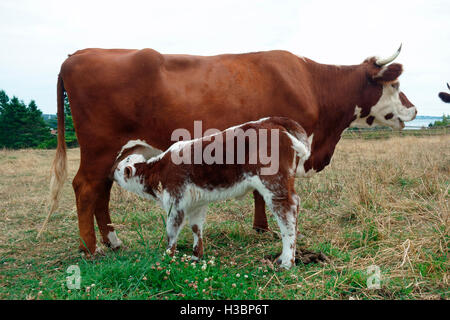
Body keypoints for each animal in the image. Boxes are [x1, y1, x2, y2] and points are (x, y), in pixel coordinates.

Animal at [112, 116, 312, 268]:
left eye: (119, 168)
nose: (111, 171)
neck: (160, 170)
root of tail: (271, 121)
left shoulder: (175, 202)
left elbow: (171, 231)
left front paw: (168, 256)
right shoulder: (196, 204)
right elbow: (196, 227)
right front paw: (196, 256)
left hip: (273, 183)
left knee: (287, 213)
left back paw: (286, 261)